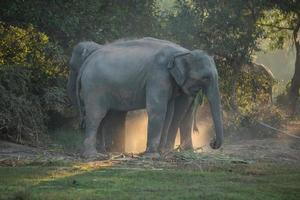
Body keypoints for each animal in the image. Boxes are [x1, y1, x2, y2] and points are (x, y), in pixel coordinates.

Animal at [68, 37, 223, 159]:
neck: (182, 52)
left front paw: (162, 153)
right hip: (94, 87)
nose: (212, 142)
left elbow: (169, 112)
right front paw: (153, 156)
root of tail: (87, 63)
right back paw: (92, 156)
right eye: (206, 77)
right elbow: (157, 109)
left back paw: (102, 153)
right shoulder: (158, 75)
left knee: (101, 116)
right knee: (96, 115)